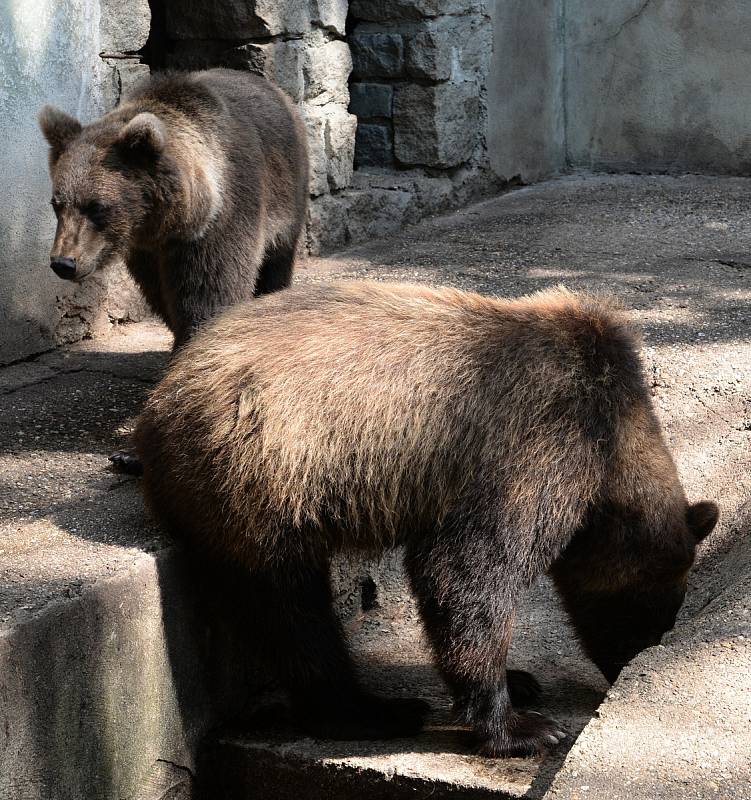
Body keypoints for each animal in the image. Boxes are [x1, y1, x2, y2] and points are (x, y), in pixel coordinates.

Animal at [37, 69, 308, 344]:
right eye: (57, 204)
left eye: (96, 206)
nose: (63, 262)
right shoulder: (148, 250)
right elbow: (160, 293)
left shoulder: (224, 218)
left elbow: (212, 288)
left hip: (288, 189)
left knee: (277, 261)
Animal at [132, 282, 720, 756]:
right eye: (650, 606)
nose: (628, 665)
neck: (612, 446)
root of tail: (161, 401)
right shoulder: (534, 445)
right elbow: (467, 572)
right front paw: (521, 724)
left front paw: (520, 680)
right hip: (262, 480)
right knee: (293, 611)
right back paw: (372, 711)